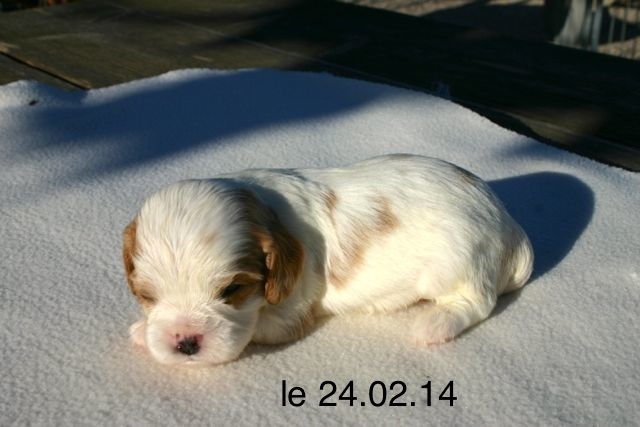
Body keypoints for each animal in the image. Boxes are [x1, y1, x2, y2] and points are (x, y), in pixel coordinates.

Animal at [123, 154, 533, 365]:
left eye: (233, 290)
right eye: (147, 295)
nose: (185, 343)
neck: (267, 209)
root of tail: (510, 225)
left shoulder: (292, 312)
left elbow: (254, 329)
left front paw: (142, 333)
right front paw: (147, 329)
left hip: (455, 264)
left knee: (478, 303)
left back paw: (434, 324)